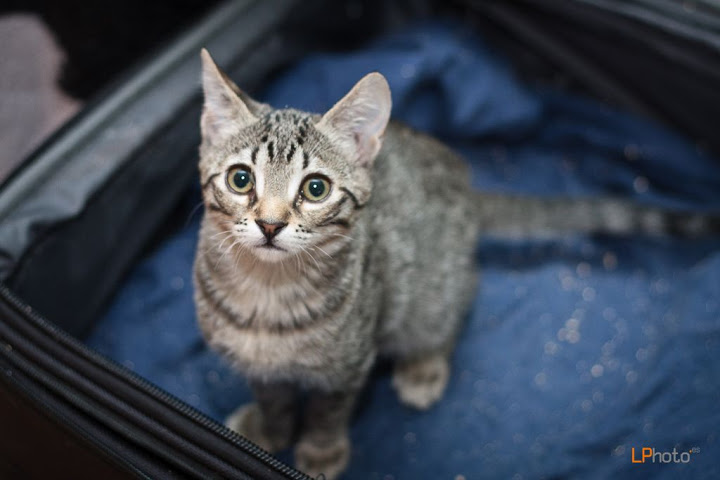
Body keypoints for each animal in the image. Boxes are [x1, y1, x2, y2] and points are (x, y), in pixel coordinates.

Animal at [194, 50, 716, 478]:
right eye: (241, 179)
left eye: (315, 188)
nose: (269, 224)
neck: (267, 290)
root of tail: (466, 186)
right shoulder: (258, 366)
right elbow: (274, 398)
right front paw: (269, 428)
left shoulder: (349, 365)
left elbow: (328, 412)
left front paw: (322, 452)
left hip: (432, 291)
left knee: (453, 307)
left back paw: (424, 366)